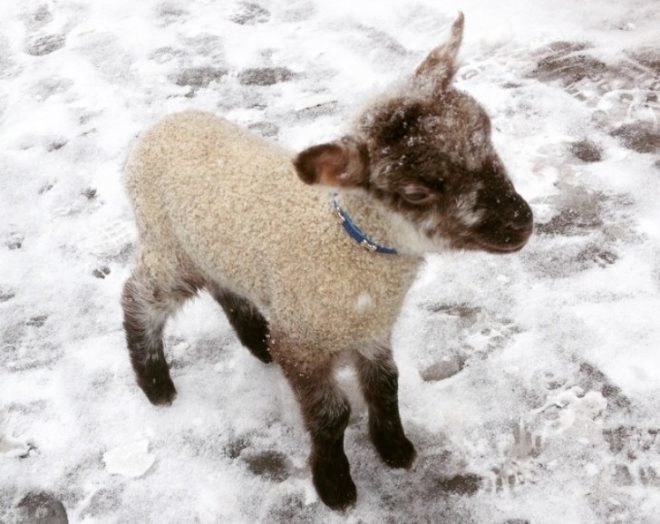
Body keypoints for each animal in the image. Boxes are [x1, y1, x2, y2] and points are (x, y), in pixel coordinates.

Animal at [121, 13, 533, 510]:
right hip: (167, 246)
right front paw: (335, 485)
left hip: (215, 251)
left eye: (487, 134)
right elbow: (331, 413)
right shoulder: (303, 340)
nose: (522, 222)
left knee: (226, 290)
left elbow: (385, 384)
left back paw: (257, 342)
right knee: (137, 298)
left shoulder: (372, 331)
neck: (347, 249)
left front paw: (395, 448)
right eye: (416, 193)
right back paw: (156, 385)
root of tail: (160, 126)